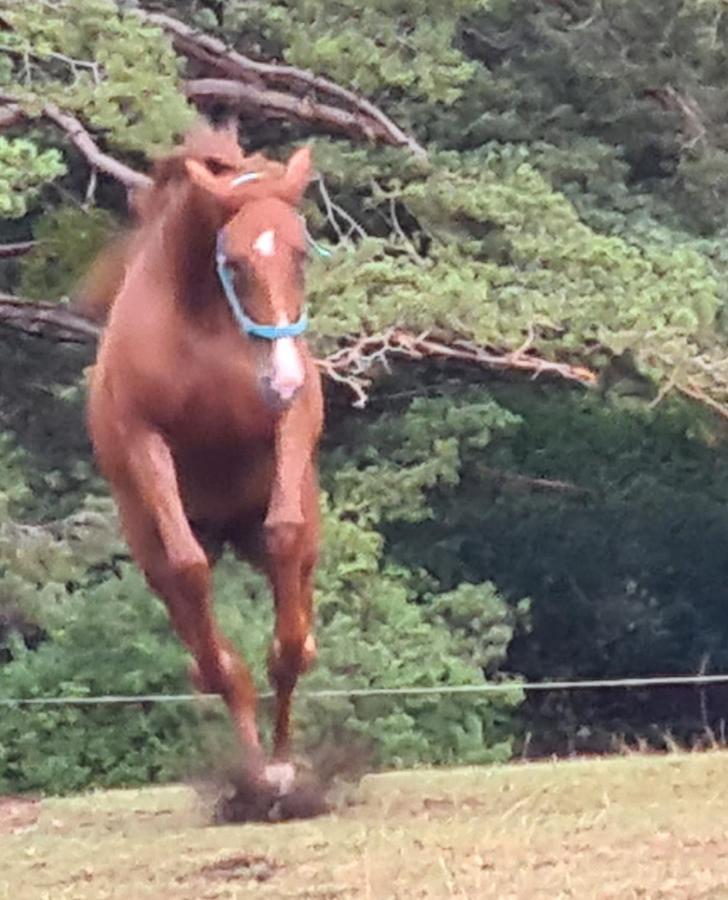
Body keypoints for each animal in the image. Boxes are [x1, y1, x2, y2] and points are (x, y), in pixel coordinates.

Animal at [85, 125, 322, 788]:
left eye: (300, 253)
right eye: (233, 263)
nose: (285, 377)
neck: (205, 324)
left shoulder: (290, 423)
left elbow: (284, 538)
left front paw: (285, 760)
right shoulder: (144, 437)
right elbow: (190, 570)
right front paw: (260, 770)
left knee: (295, 583)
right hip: (155, 553)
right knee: (205, 640)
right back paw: (254, 768)